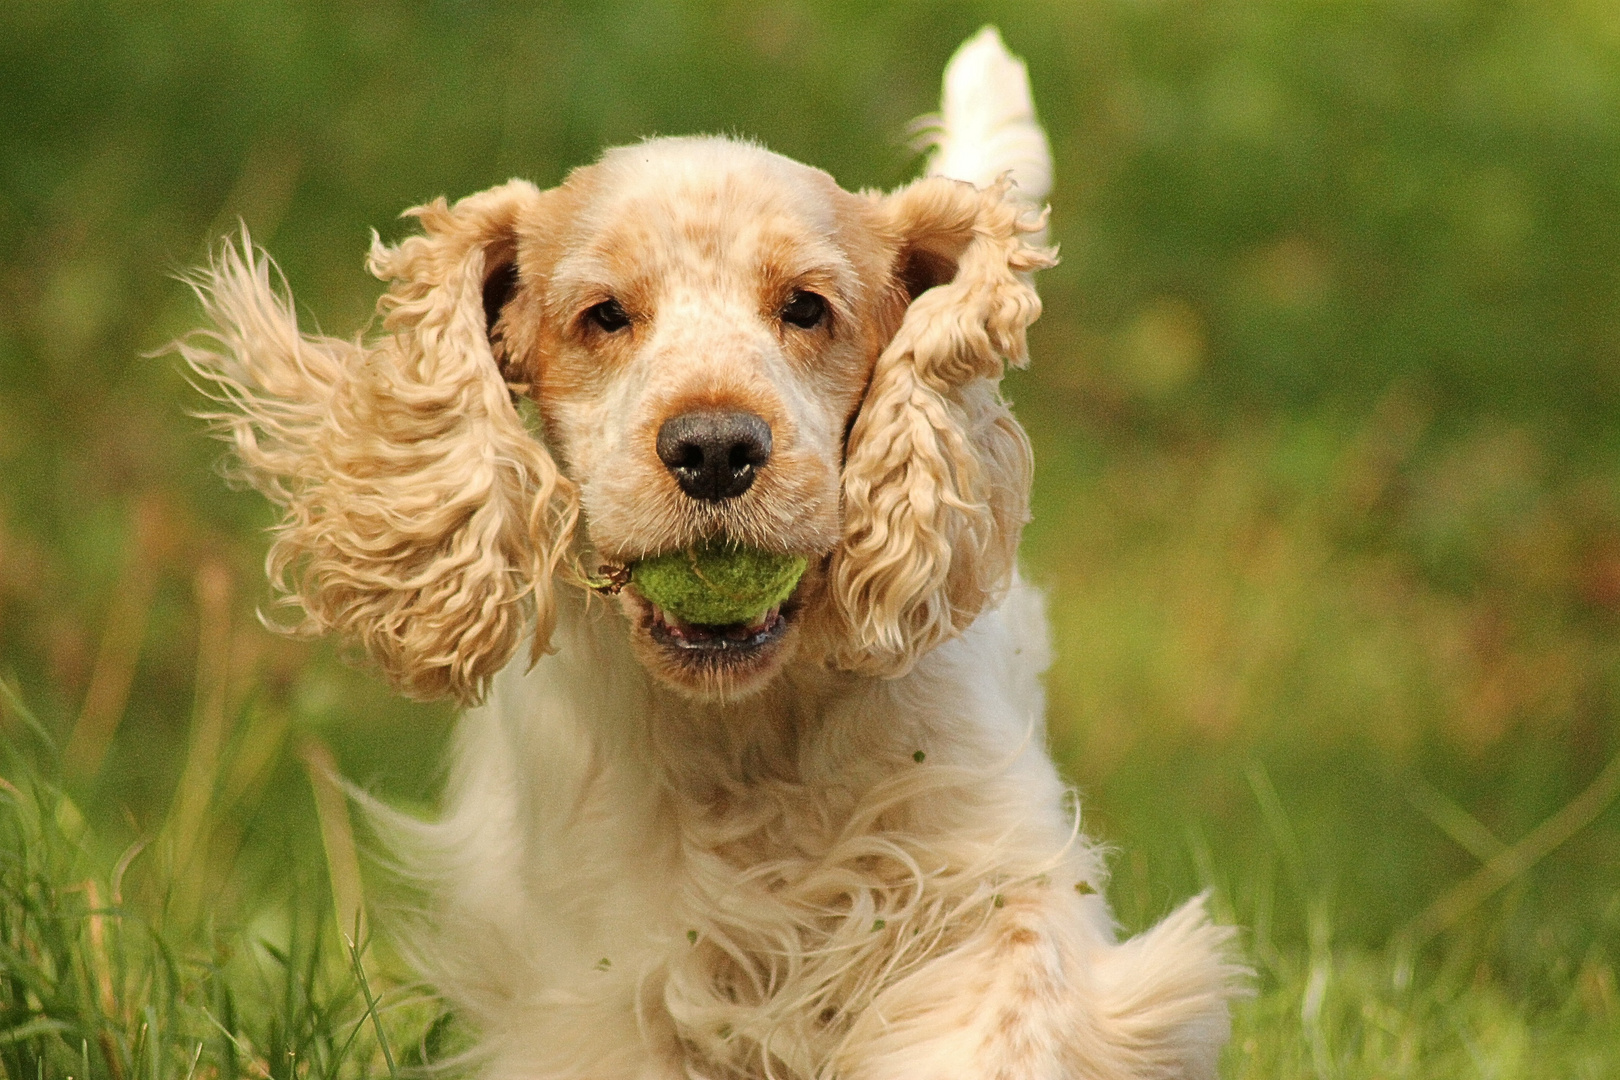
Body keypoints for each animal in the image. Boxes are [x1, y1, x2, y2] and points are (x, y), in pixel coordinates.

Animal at [183, 27, 1244, 1080]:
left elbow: (1000, 1017)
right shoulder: (604, 983)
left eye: (807, 307)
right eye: (604, 315)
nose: (715, 449)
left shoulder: (986, 888)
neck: (745, 738)